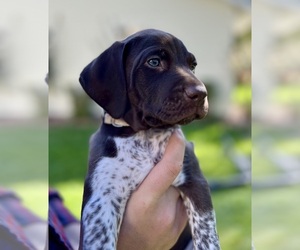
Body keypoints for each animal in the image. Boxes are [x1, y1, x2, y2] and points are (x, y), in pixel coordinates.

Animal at [79, 28, 220, 249]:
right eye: (154, 62)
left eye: (192, 66)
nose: (201, 93)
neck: (146, 136)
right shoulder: (102, 198)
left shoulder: (196, 182)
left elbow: (207, 237)